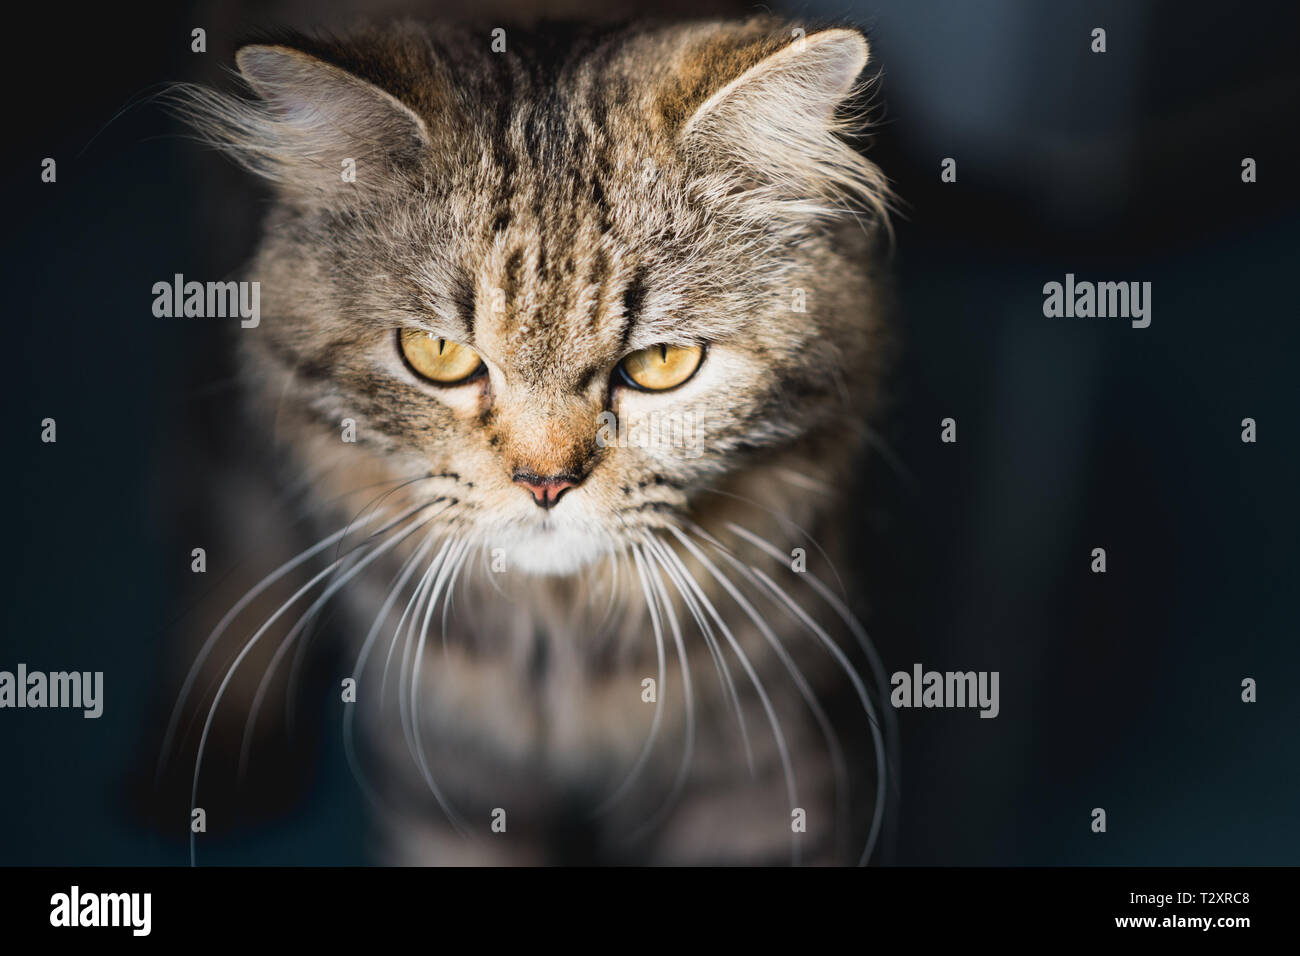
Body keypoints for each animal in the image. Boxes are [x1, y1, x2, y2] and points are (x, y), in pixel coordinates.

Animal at [159, 14, 894, 868]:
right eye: (437, 354)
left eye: (662, 363)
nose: (545, 482)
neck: (562, 650)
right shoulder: (452, 782)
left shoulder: (760, 777)